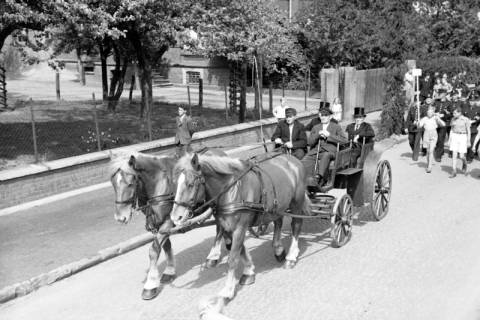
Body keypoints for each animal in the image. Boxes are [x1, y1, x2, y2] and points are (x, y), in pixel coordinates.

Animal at [109, 149, 230, 300]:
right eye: (113, 183)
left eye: (131, 183)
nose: (120, 217)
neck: (158, 184)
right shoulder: (157, 223)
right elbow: (165, 246)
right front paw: (170, 271)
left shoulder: (168, 220)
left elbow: (153, 251)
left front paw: (150, 285)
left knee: (219, 226)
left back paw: (213, 255)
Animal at [171, 152, 310, 300]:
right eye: (175, 184)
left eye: (190, 184)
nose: (175, 217)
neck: (230, 191)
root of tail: (293, 158)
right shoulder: (229, 227)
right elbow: (240, 250)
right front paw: (249, 271)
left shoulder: (239, 227)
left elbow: (233, 258)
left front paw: (227, 290)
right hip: (276, 207)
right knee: (278, 221)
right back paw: (278, 249)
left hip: (296, 203)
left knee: (296, 225)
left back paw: (291, 256)